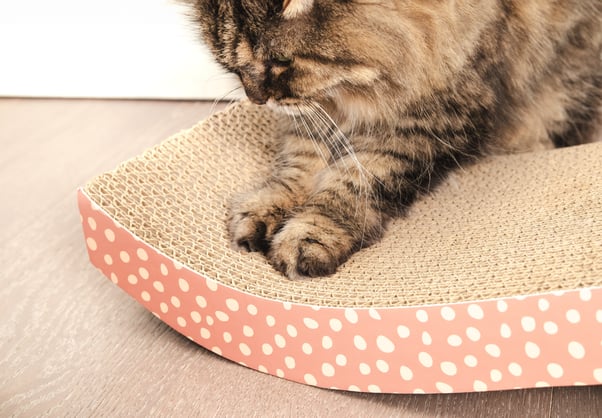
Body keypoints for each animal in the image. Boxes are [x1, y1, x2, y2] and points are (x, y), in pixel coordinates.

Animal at [191, 1, 600, 280]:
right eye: (232, 65)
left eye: (280, 62)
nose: (255, 98)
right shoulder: (315, 115)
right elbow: (298, 166)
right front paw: (266, 209)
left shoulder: (422, 125)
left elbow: (352, 184)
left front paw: (310, 235)